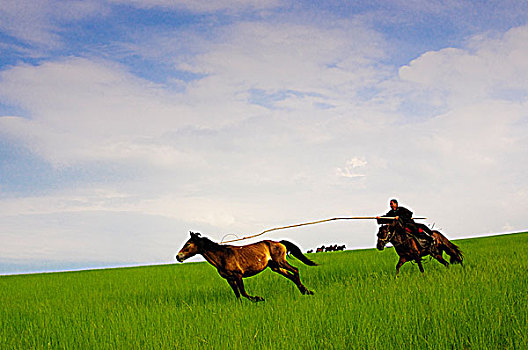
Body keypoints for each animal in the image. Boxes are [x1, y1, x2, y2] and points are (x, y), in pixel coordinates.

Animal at [176, 232, 318, 300]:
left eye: (188, 244)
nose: (178, 256)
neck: (223, 256)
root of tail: (279, 242)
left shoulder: (238, 276)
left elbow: (243, 293)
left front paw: (259, 298)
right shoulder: (229, 279)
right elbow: (238, 295)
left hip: (280, 262)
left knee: (295, 270)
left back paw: (305, 291)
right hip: (275, 267)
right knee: (291, 276)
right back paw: (306, 291)